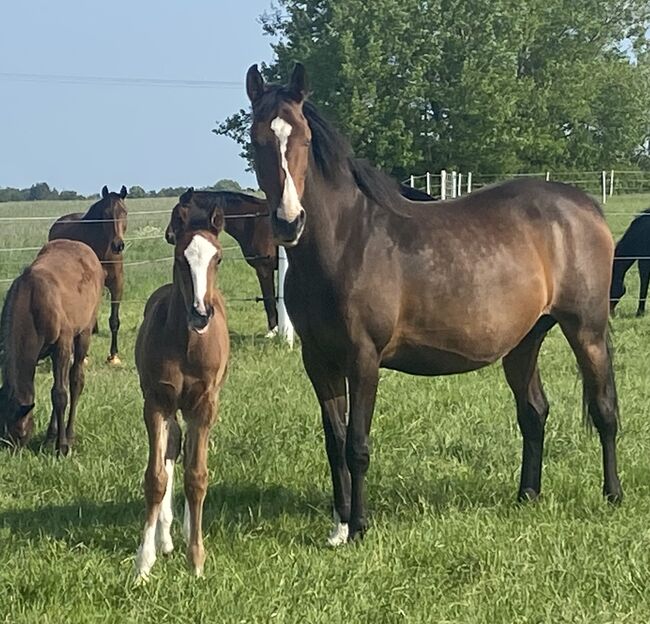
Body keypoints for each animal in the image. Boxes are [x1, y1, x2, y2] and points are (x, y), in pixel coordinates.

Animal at [0, 240, 103, 454]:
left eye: (19, 433)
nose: (11, 451)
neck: (32, 302)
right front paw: (50, 439)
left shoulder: (62, 345)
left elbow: (60, 394)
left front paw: (62, 446)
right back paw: (51, 436)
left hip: (84, 332)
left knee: (76, 379)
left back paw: (69, 435)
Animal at [48, 183, 128, 364]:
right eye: (106, 214)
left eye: (124, 212)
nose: (118, 245)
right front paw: (83, 356)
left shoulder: (117, 284)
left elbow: (114, 320)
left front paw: (113, 356)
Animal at [165, 189, 276, 336]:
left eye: (178, 215)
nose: (168, 236)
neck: (255, 220)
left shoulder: (264, 269)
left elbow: (269, 299)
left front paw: (273, 331)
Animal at [246, 61, 620, 544]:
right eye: (257, 139)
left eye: (305, 139)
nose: (288, 221)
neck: (346, 242)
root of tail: (586, 206)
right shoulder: (319, 360)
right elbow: (334, 441)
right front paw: (339, 525)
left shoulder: (363, 359)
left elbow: (357, 444)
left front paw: (360, 527)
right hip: (525, 340)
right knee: (534, 412)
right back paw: (527, 495)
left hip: (586, 329)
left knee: (604, 409)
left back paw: (613, 495)